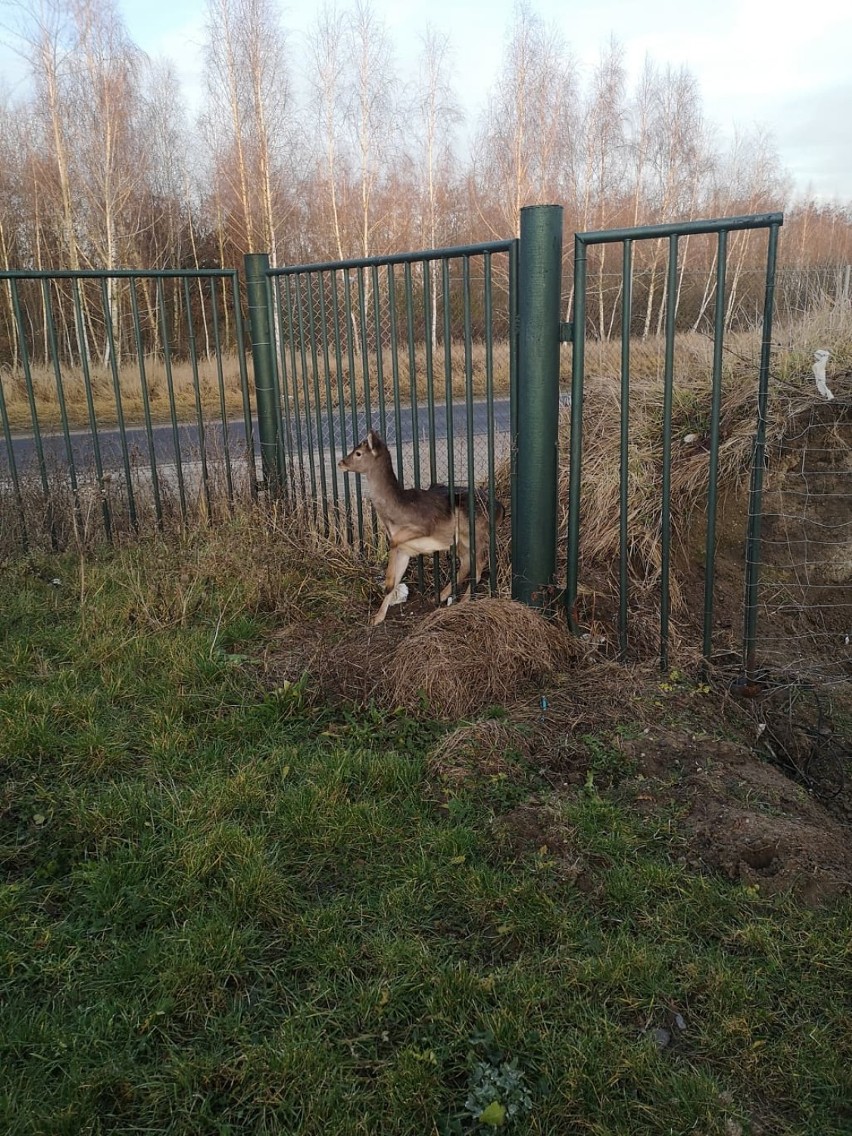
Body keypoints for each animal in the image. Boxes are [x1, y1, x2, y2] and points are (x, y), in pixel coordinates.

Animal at [336, 429, 504, 627]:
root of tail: (501, 509)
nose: (340, 463)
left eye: (358, 453)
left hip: (475, 533)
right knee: (467, 563)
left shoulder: (425, 525)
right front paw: (377, 618)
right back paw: (441, 596)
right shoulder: (406, 550)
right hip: (460, 541)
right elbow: (395, 580)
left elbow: (393, 547)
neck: (396, 513)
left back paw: (463, 601)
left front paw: (386, 585)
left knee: (479, 564)